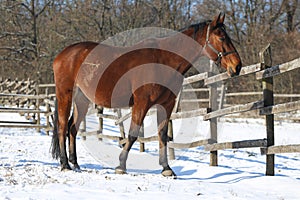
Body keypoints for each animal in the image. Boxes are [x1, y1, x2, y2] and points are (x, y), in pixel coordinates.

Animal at [49, 12, 241, 177]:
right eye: (222, 37)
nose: (237, 66)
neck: (163, 60)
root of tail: (62, 55)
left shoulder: (166, 104)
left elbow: (162, 135)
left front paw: (166, 168)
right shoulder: (142, 103)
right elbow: (133, 134)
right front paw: (121, 166)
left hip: (82, 100)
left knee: (72, 129)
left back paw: (75, 164)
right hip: (65, 95)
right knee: (62, 127)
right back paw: (65, 164)